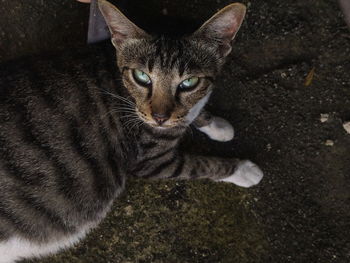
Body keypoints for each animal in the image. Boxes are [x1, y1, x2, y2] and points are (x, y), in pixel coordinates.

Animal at [0, 1, 262, 262]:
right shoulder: (152, 162)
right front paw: (244, 170)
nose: (159, 117)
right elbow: (202, 165)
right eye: (142, 76)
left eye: (189, 82)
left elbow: (196, 113)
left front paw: (218, 126)